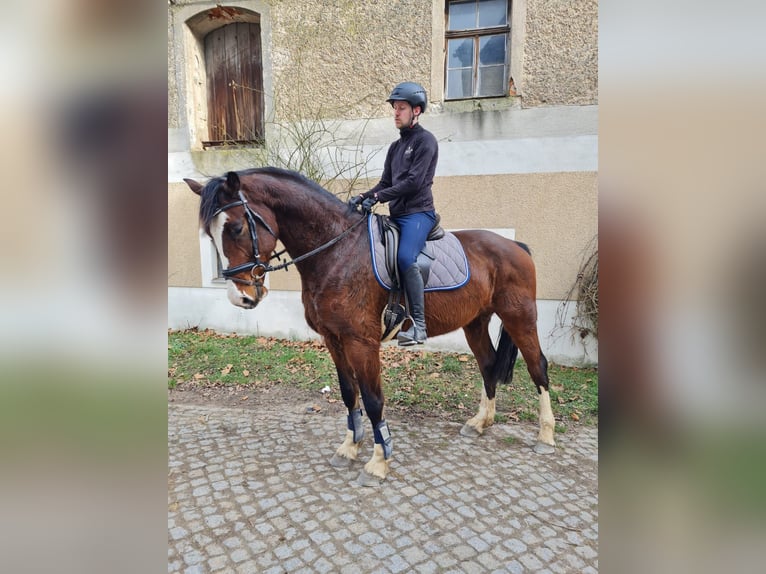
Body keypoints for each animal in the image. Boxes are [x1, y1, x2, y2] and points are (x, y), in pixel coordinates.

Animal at [184, 167, 556, 485]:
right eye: (210, 236)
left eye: (235, 228)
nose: (241, 297)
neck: (337, 251)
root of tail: (515, 246)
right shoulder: (333, 339)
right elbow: (350, 393)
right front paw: (350, 447)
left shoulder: (362, 342)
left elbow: (374, 399)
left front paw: (379, 461)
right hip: (475, 322)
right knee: (489, 364)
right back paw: (480, 422)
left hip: (520, 316)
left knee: (538, 367)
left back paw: (546, 435)